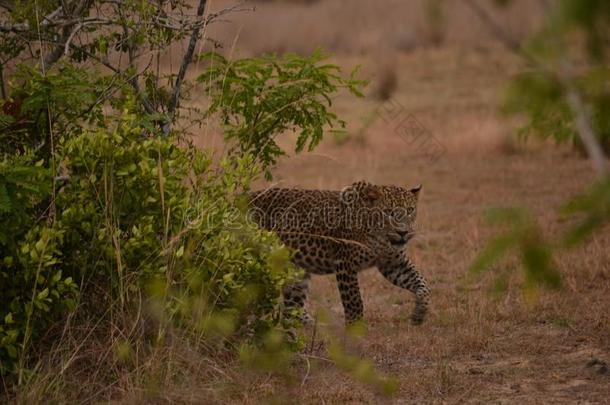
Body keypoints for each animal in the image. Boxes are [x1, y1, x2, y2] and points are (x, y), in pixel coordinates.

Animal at [246, 180, 428, 326]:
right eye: (388, 212)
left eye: (410, 210)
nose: (403, 232)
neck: (381, 238)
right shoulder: (346, 263)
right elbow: (354, 302)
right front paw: (355, 331)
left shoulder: (393, 264)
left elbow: (423, 284)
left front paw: (419, 315)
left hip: (297, 271)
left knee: (293, 308)